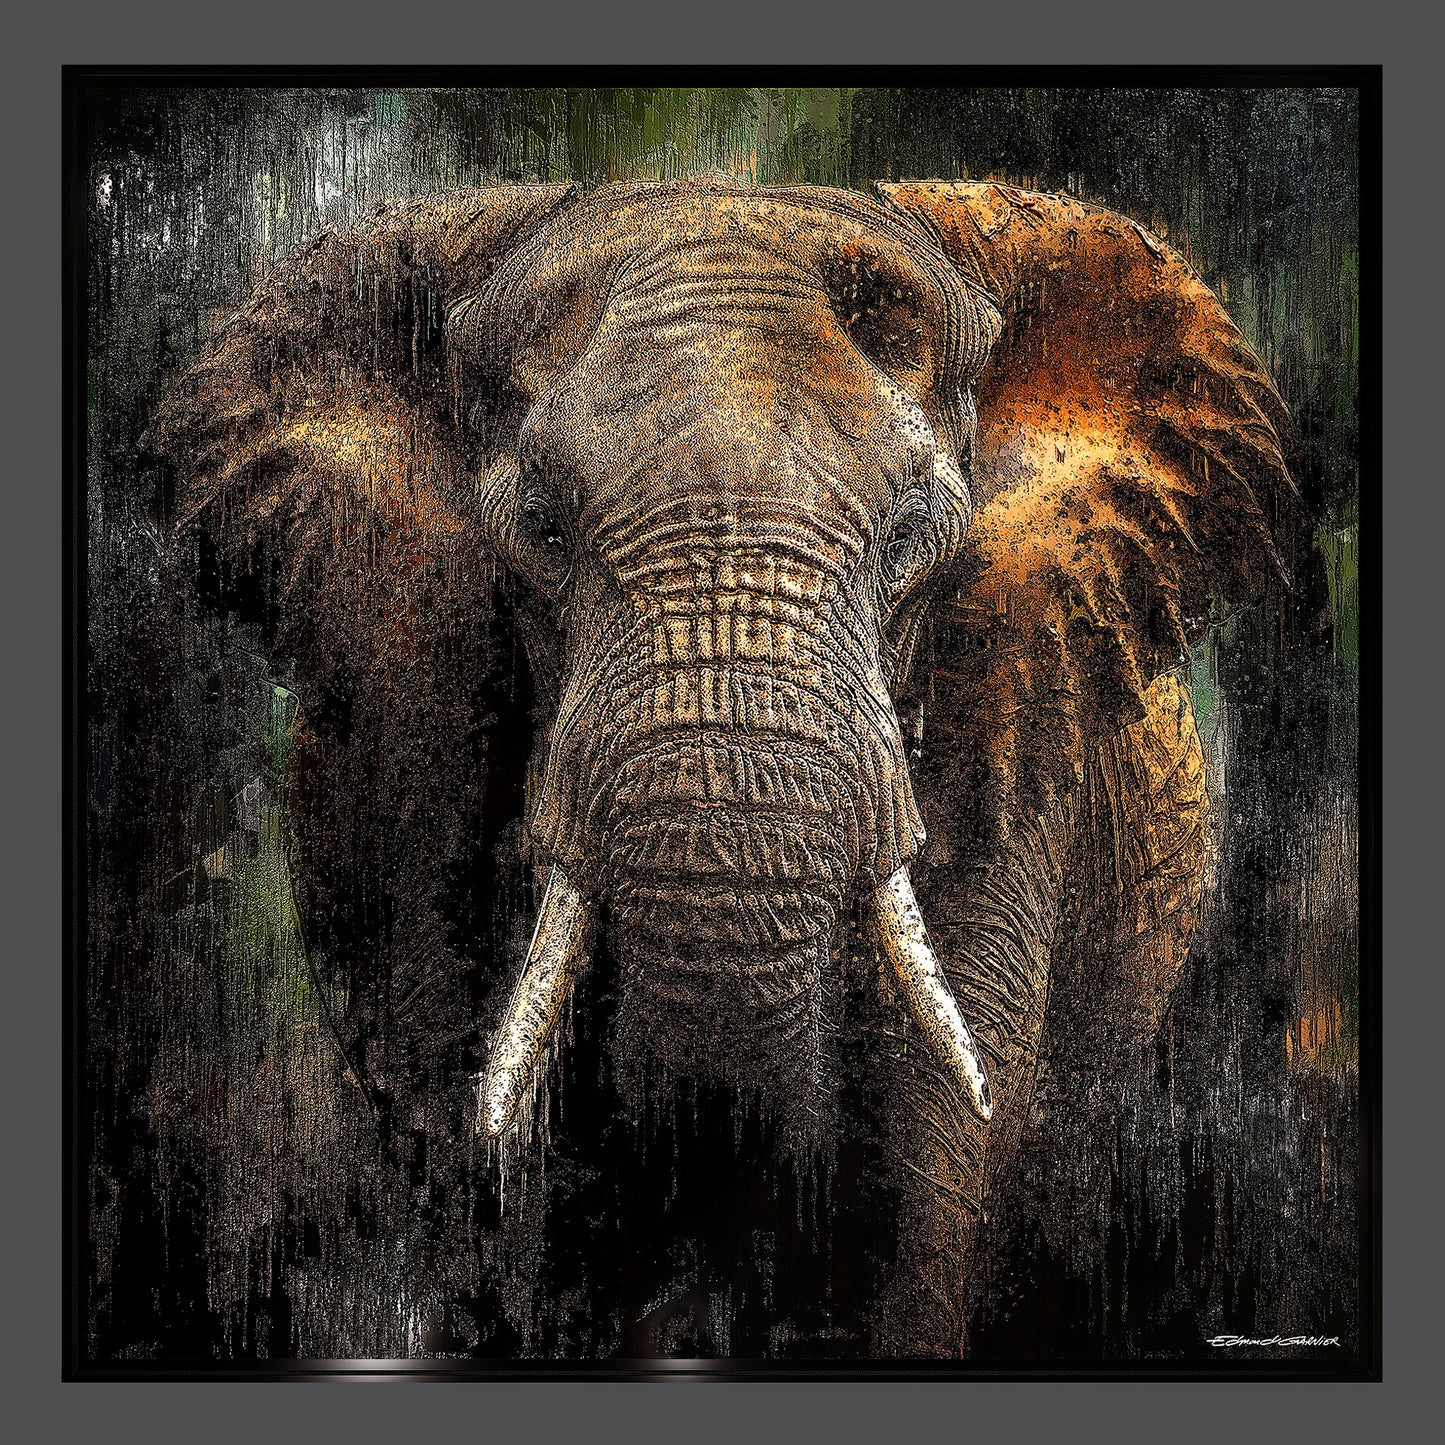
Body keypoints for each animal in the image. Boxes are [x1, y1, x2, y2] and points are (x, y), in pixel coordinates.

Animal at [151, 178, 1294, 1358]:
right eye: (541, 533)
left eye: (907, 538)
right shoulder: (416, 743)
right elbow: (524, 1216)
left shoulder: (1009, 711)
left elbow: (925, 1178)